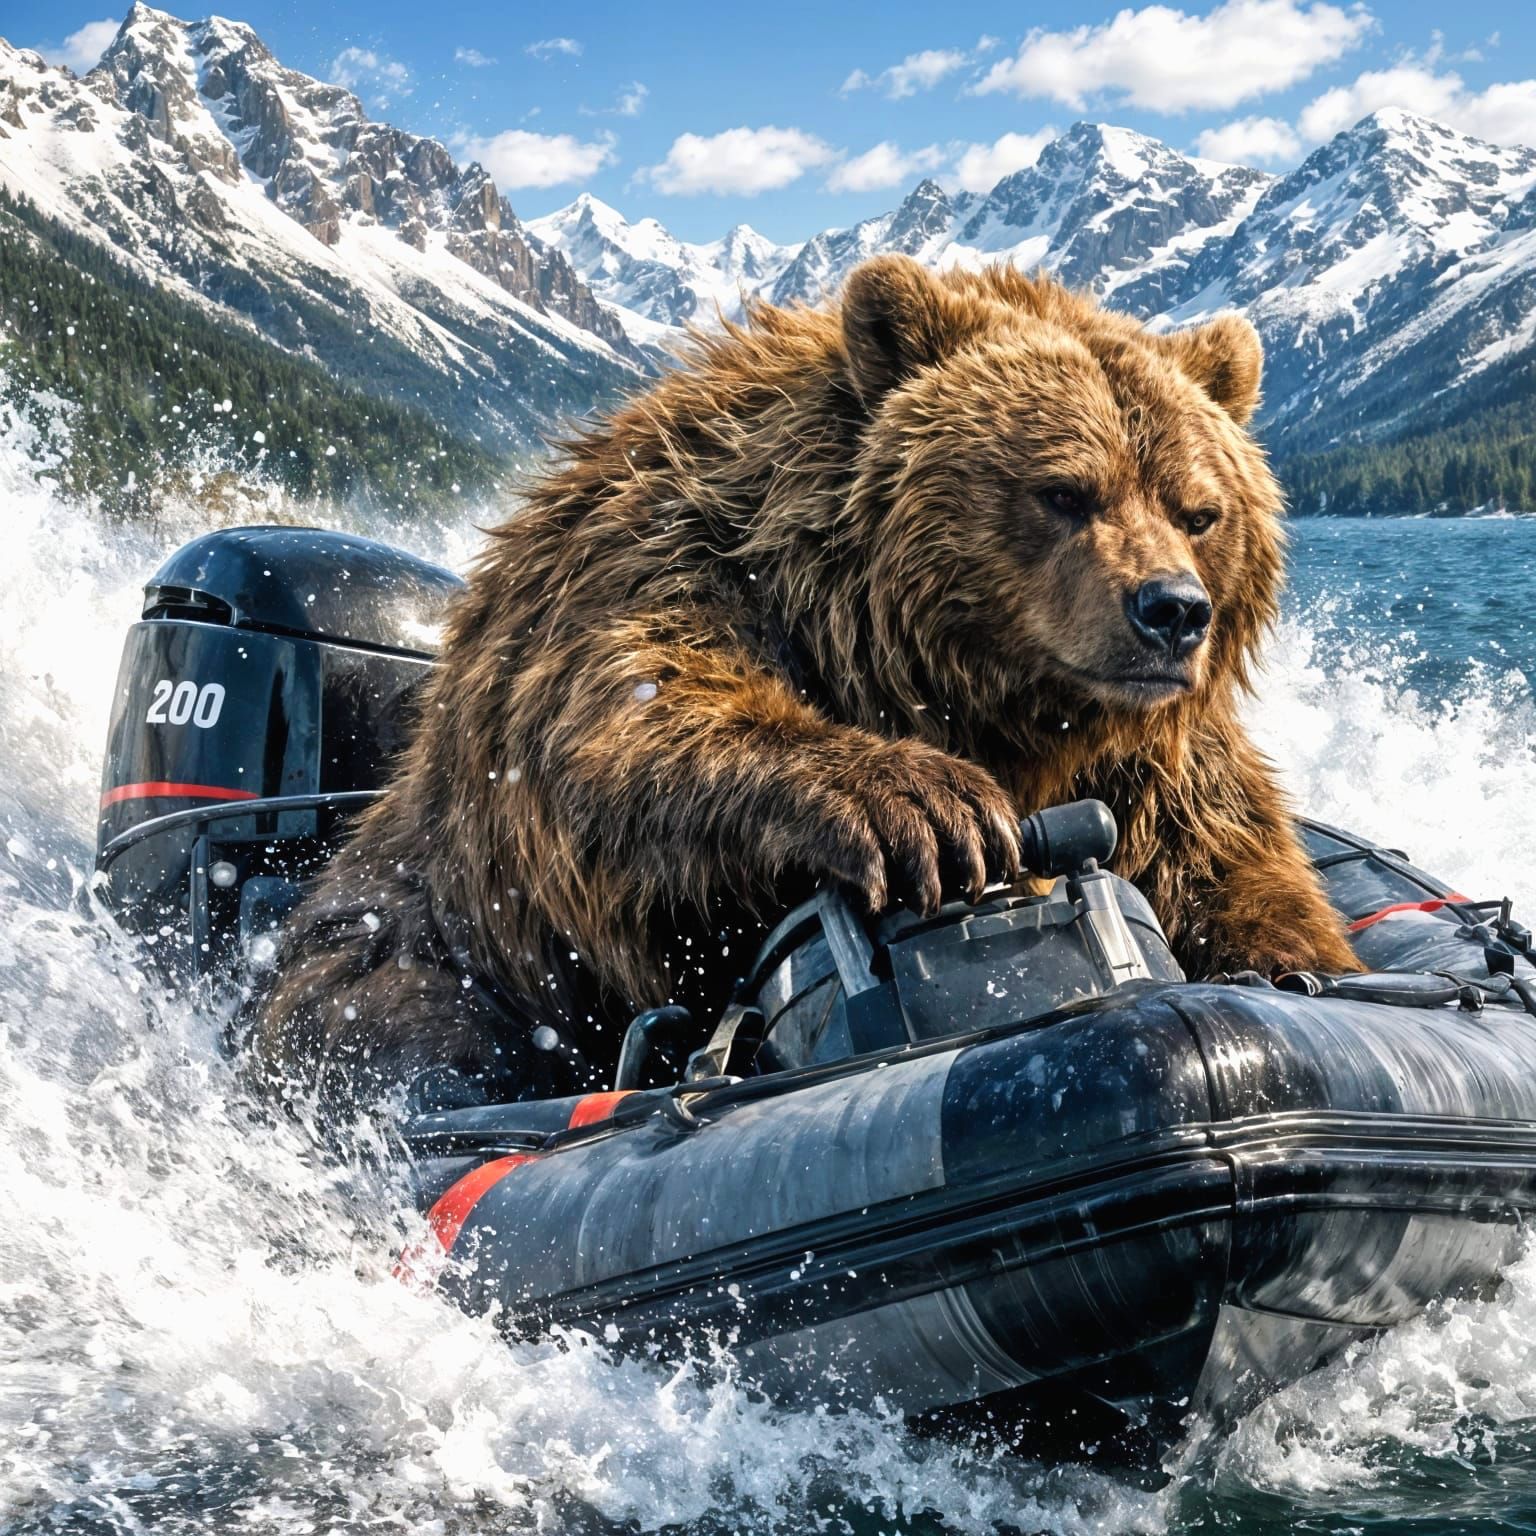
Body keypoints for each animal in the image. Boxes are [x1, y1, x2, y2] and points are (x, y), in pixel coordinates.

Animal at [249, 254, 1358, 1115]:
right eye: (1063, 490)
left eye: (1200, 509)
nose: (1170, 611)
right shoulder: (669, 564)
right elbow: (635, 717)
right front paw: (930, 807)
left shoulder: (1149, 755)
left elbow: (1225, 854)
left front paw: (1295, 961)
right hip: (425, 932)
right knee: (400, 1030)